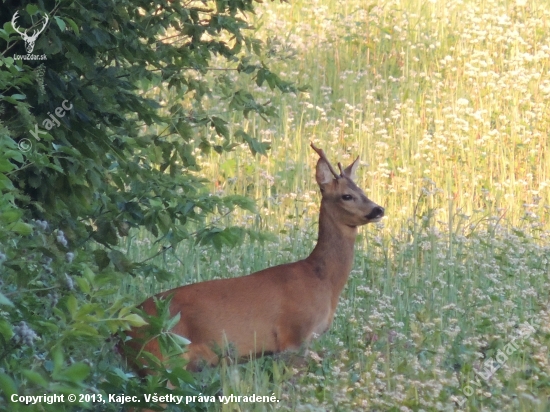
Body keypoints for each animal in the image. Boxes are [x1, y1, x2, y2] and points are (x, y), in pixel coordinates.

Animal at [123, 143, 386, 372]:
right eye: (346, 196)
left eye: (362, 191)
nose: (379, 209)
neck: (321, 280)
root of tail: (124, 331)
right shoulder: (294, 337)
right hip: (160, 358)